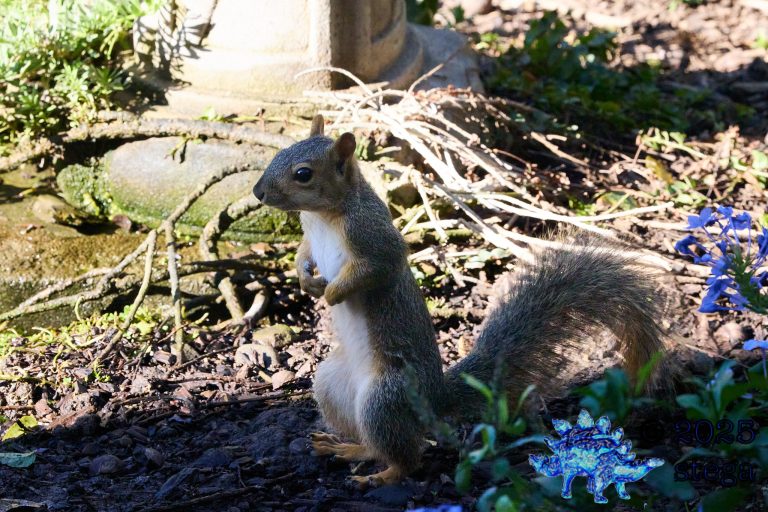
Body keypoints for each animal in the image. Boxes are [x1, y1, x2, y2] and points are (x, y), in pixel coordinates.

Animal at [252, 115, 665, 488]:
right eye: (279, 153)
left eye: (303, 174)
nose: (258, 192)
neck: (324, 216)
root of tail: (436, 398)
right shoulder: (310, 234)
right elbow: (304, 252)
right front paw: (305, 278)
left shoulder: (372, 238)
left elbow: (375, 269)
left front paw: (331, 293)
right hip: (332, 386)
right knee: (375, 443)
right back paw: (351, 449)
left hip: (384, 399)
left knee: (408, 457)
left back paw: (381, 476)